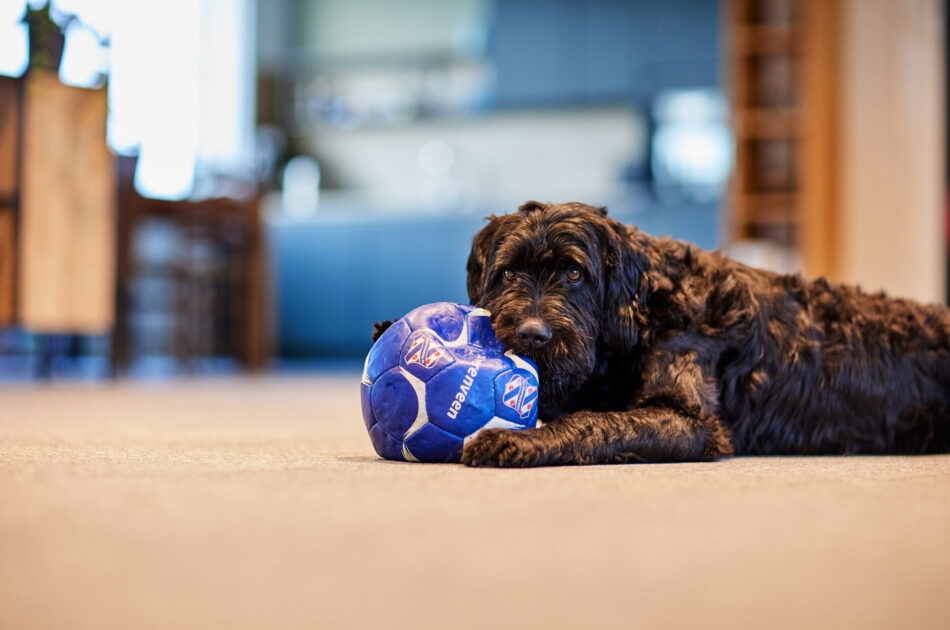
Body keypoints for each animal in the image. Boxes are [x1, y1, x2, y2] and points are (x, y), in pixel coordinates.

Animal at [378, 204, 950, 470]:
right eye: (508, 273)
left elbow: (599, 423)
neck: (643, 310)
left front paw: (520, 440)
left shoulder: (689, 420)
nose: (533, 335)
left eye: (574, 273)